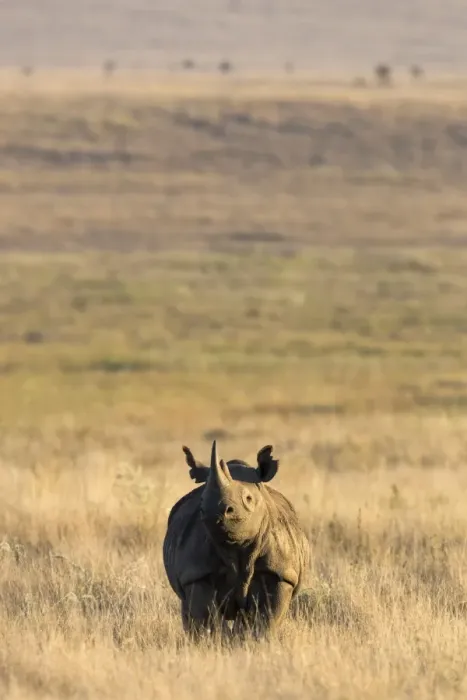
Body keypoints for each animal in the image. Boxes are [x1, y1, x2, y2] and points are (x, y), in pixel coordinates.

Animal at [163, 440, 310, 640]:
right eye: (202, 499)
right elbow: (206, 619)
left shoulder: (279, 572)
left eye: (248, 499)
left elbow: (266, 618)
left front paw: (256, 642)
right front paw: (214, 642)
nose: (215, 512)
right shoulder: (196, 573)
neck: (236, 546)